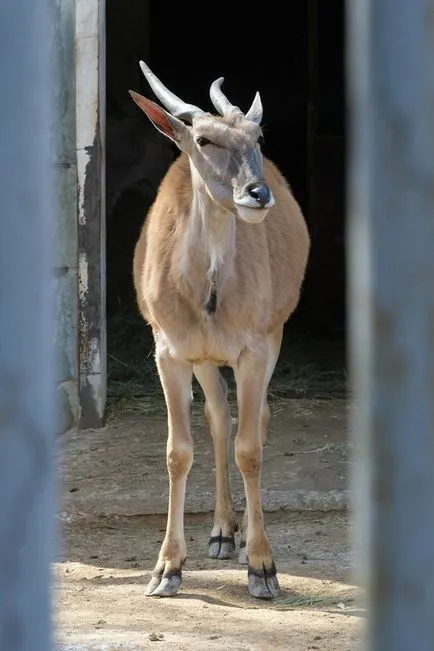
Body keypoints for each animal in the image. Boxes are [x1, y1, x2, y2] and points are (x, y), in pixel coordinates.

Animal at [128, 62, 308, 600]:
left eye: (257, 136)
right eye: (204, 139)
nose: (258, 194)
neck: (206, 294)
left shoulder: (254, 349)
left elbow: (251, 449)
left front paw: (263, 567)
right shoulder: (169, 353)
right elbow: (177, 451)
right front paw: (167, 569)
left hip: (271, 339)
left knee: (255, 420)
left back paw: (243, 534)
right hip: (207, 362)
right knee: (219, 417)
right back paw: (223, 532)